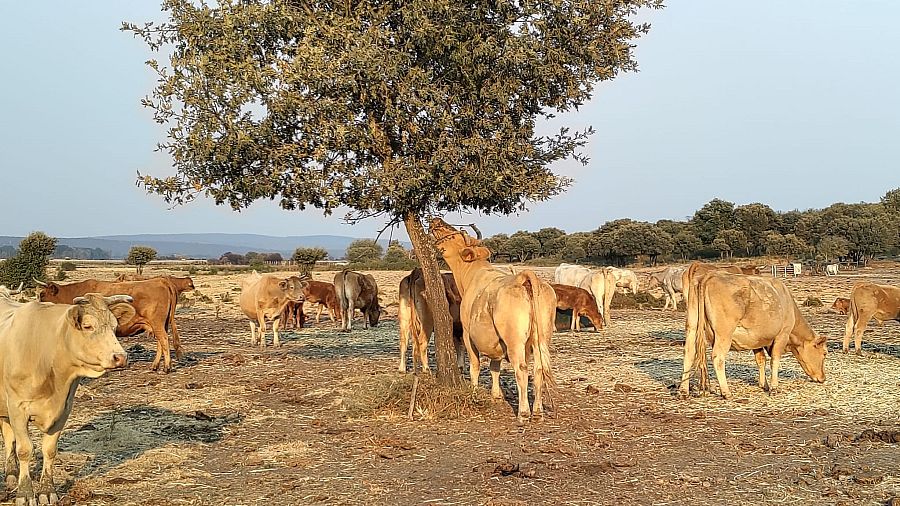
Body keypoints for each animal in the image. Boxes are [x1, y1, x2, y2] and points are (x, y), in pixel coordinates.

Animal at [0, 293, 133, 506]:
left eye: (114, 327)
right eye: (88, 326)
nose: (120, 357)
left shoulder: (64, 409)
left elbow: (49, 450)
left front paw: (47, 491)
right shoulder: (17, 408)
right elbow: (25, 450)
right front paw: (25, 493)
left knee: (8, 436)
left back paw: (11, 473)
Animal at [37, 278, 179, 372]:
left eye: (42, 294)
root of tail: (161, 280)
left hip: (157, 324)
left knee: (164, 340)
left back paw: (167, 367)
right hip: (161, 325)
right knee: (160, 342)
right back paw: (155, 365)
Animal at [430, 218, 557, 423]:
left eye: (455, 236)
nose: (437, 220)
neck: (472, 274)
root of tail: (524, 277)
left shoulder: (467, 334)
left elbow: (475, 365)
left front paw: (474, 391)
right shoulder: (496, 341)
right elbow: (494, 366)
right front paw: (496, 395)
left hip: (515, 341)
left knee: (521, 370)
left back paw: (523, 413)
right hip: (540, 339)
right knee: (538, 371)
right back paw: (537, 411)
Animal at [679, 271, 827, 399]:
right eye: (824, 353)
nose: (823, 378)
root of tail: (710, 275)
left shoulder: (757, 340)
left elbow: (761, 360)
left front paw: (764, 385)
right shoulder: (782, 335)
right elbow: (774, 360)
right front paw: (774, 387)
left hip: (692, 327)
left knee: (689, 353)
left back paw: (683, 391)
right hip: (724, 333)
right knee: (718, 357)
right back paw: (726, 392)